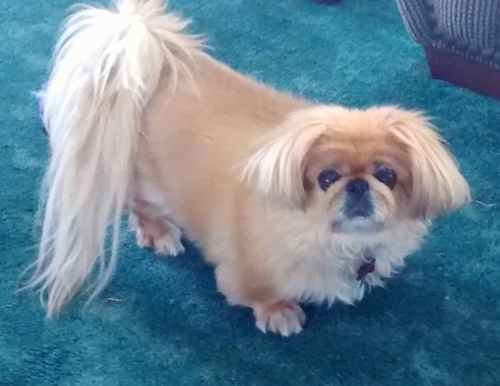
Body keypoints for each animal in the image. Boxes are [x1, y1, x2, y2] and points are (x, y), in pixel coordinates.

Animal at [28, 0, 472, 334]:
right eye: (326, 178)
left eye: (386, 175)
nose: (358, 185)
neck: (333, 241)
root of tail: (151, 56)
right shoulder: (247, 272)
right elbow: (258, 293)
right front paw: (279, 313)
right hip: (143, 180)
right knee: (140, 206)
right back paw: (161, 233)